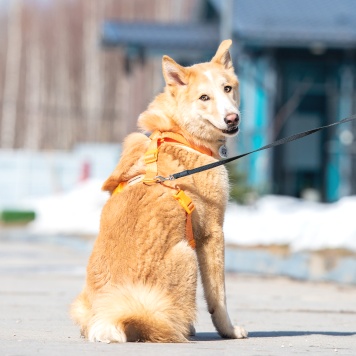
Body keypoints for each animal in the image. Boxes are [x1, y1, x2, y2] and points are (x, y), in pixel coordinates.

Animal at [69, 40, 248, 344]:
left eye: (227, 89)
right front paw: (229, 331)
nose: (232, 118)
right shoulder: (212, 232)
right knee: (163, 326)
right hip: (187, 255)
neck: (179, 133)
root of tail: (109, 317)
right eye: (204, 97)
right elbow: (218, 297)